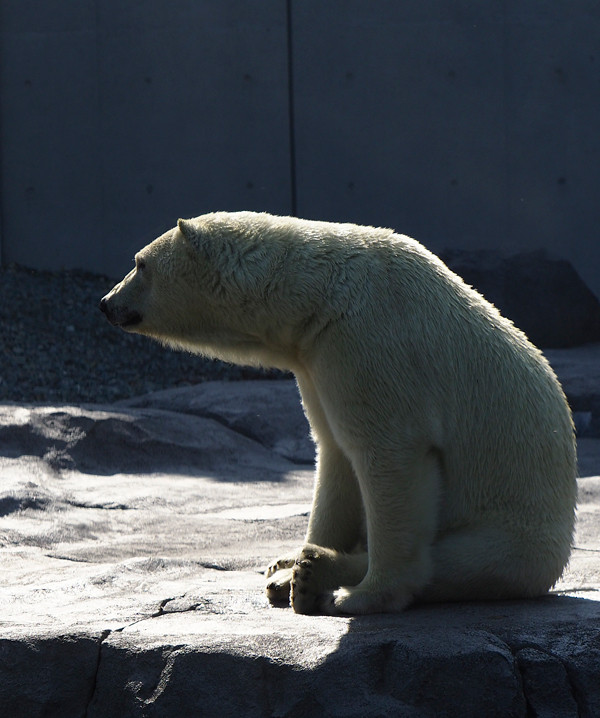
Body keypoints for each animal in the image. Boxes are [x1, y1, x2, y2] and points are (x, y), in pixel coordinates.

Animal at [101, 211, 580, 616]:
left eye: (140, 264)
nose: (106, 302)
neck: (319, 297)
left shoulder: (366, 341)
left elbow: (389, 454)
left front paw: (364, 595)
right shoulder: (315, 359)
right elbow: (334, 455)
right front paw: (294, 575)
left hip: (518, 535)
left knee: (458, 561)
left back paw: (322, 573)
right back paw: (290, 571)